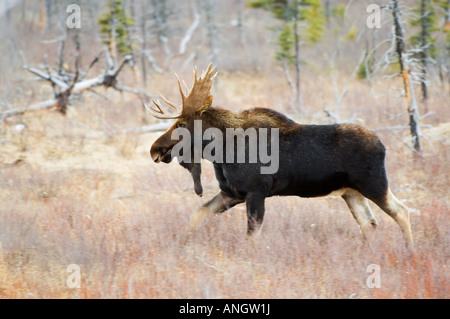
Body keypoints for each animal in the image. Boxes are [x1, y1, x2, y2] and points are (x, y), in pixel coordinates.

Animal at [146, 63, 414, 249]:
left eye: (182, 123)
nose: (155, 149)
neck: (221, 152)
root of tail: (382, 146)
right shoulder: (233, 193)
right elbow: (197, 213)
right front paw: (180, 246)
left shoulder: (256, 191)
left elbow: (251, 237)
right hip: (350, 191)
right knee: (369, 224)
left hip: (373, 183)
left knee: (402, 211)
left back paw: (410, 252)